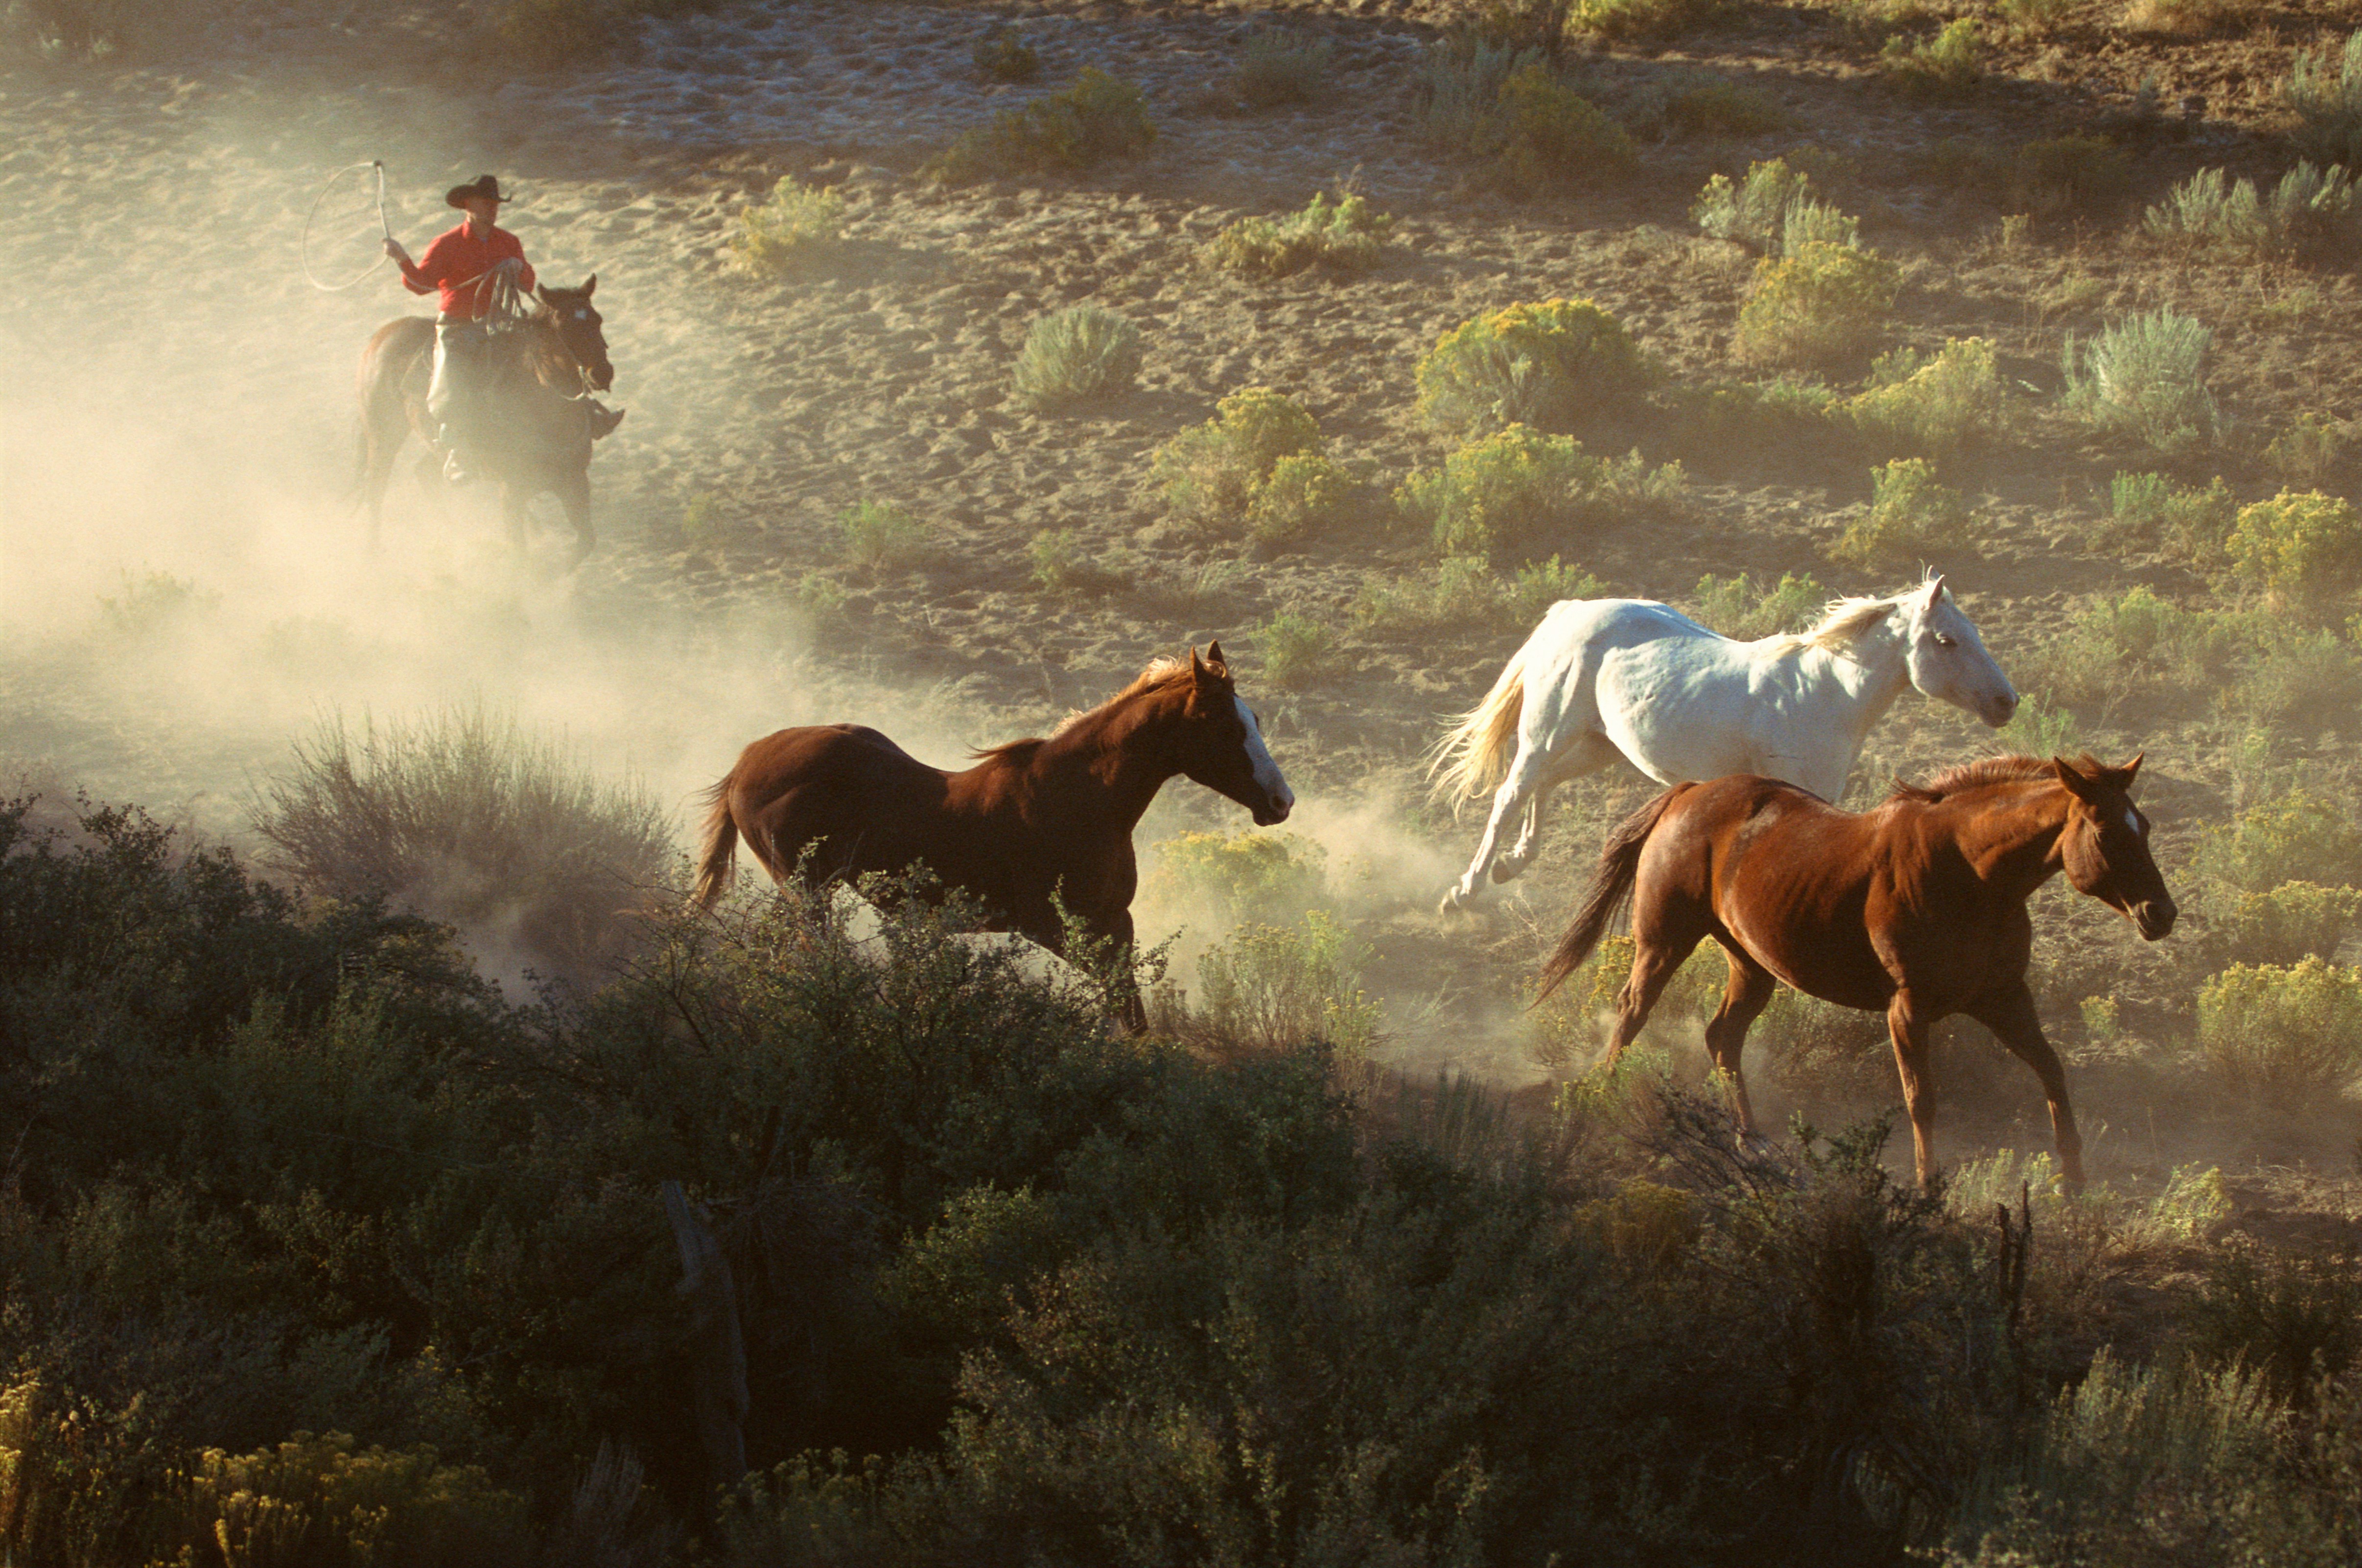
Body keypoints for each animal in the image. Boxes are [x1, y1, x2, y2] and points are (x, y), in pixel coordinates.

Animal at [356, 277, 618, 564]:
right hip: (383, 432)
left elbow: (585, 542)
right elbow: (520, 554)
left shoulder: (575, 482)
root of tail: (382, 335)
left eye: (597, 319)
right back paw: (372, 552)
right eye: (563, 325)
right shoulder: (511, 491)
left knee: (424, 473)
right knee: (375, 487)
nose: (602, 373)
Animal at [691, 644, 1295, 1030]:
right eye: (1226, 726)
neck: (1081, 798)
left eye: (1254, 718)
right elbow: (1122, 1007)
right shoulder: (1053, 926)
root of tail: (747, 760)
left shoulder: (1114, 922)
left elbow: (1133, 1014)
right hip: (807, 889)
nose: (1281, 801)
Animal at [1429, 574, 2019, 912]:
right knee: (1509, 795)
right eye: (1946, 639)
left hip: (1601, 744)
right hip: (1545, 732)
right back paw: (1464, 891)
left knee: (1543, 786)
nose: (2006, 702)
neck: (1823, 693)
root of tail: (1571, 611)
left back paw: (1511, 865)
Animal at [1535, 754, 2177, 1190]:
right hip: (1663, 943)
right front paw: (1927, 1184)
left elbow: (2051, 1071)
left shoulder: (2002, 996)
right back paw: (1599, 1105)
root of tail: (1688, 793)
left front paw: (2073, 1181)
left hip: (1751, 963)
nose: (2161, 913)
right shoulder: (1908, 1007)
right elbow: (1922, 1097)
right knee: (1630, 1015)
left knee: (1722, 1036)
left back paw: (1751, 1141)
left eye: (2144, 825)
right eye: (2105, 830)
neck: (1970, 874)